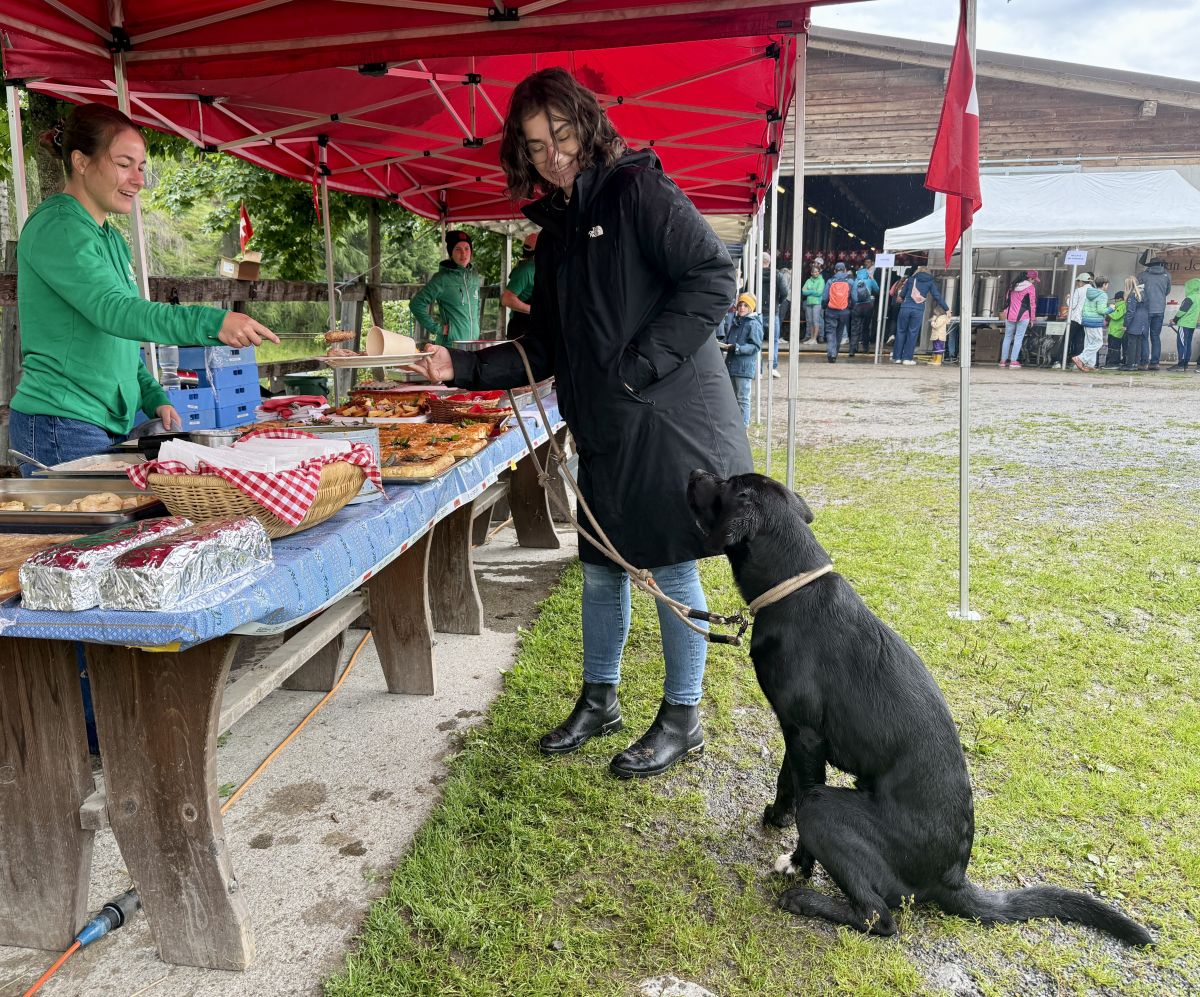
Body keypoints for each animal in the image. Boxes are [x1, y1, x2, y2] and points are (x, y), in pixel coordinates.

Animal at [686, 469, 1153, 946]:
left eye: (724, 484)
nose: (696, 472)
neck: (792, 587)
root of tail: (952, 878)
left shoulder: (804, 736)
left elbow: (800, 790)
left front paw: (798, 864)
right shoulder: (797, 730)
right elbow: (785, 780)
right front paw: (777, 818)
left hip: (825, 809)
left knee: (879, 917)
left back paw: (806, 900)